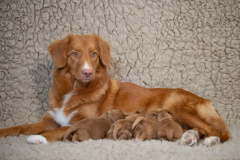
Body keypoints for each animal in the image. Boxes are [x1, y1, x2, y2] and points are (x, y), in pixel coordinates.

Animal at [0, 34, 230, 146]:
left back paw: (205, 139)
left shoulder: (78, 121)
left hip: (177, 106)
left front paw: (39, 139)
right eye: (75, 54)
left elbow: (57, 131)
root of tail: (208, 101)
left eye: (93, 54)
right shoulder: (48, 119)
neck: (74, 89)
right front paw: (5, 132)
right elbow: (19, 127)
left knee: (218, 132)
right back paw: (190, 136)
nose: (87, 72)